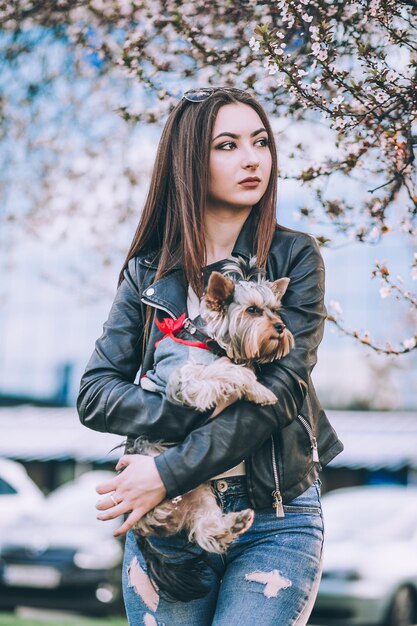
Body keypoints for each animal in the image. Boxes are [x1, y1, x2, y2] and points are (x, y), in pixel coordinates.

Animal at [130, 258, 292, 600]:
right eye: (253, 310)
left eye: (275, 310)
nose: (281, 327)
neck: (208, 339)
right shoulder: (184, 379)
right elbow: (229, 370)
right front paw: (261, 390)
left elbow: (233, 369)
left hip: (202, 496)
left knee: (206, 528)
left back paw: (235, 522)